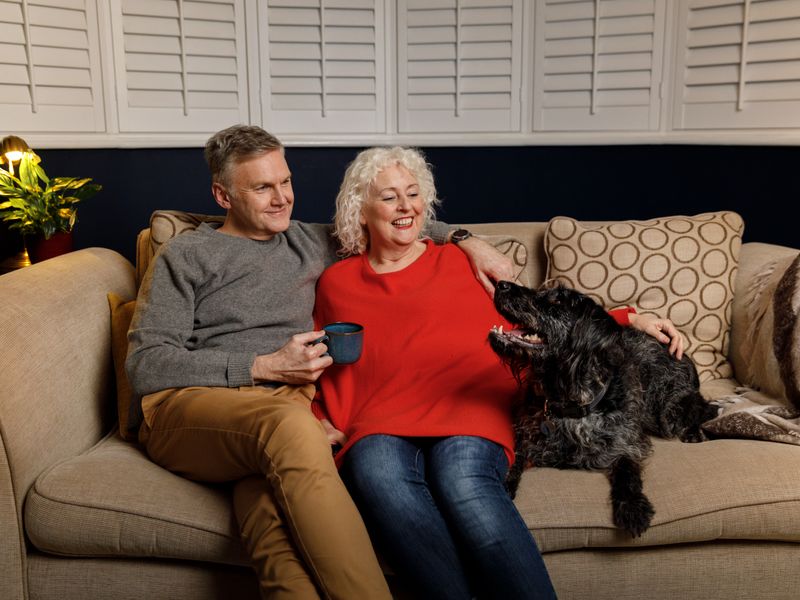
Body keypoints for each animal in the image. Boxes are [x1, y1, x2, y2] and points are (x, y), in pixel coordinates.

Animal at [488, 282, 720, 540]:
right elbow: (515, 458)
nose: (501, 284)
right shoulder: (527, 434)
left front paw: (633, 507)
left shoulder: (626, 441)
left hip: (668, 412)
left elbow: (627, 469)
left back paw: (694, 432)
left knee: (706, 408)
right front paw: (505, 483)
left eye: (558, 301)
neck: (567, 399)